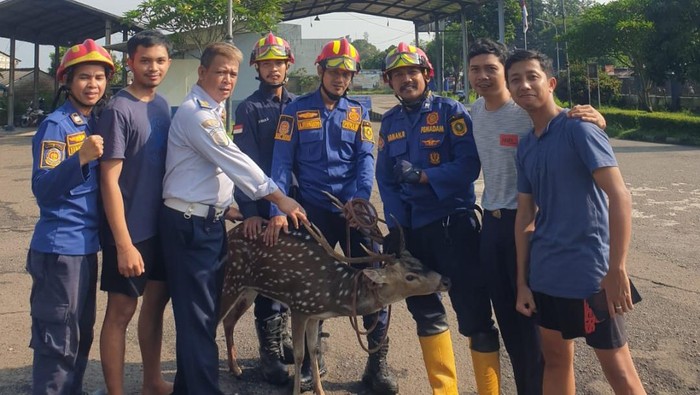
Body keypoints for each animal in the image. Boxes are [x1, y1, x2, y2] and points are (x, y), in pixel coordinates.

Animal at [219, 223, 448, 395]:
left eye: (419, 260)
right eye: (410, 276)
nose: (446, 280)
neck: (334, 294)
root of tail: (231, 232)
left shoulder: (314, 314)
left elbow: (313, 349)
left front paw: (320, 391)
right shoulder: (299, 306)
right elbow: (300, 354)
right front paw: (297, 390)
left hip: (249, 289)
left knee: (229, 320)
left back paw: (236, 368)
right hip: (230, 280)